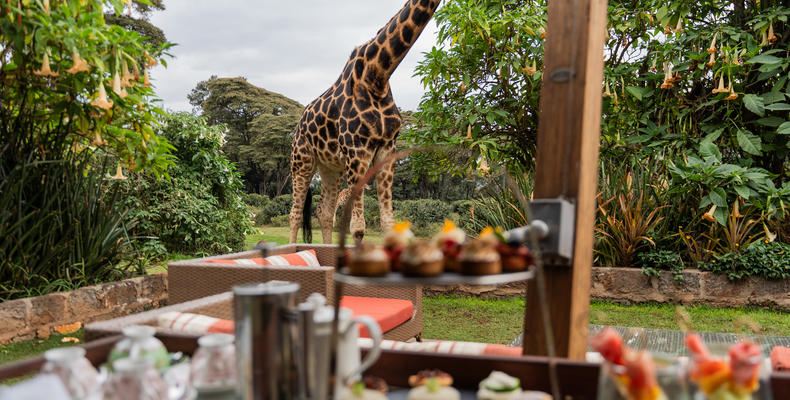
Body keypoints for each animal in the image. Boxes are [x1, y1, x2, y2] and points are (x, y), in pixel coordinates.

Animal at [289, 0, 441, 244]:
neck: (378, 73)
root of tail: (298, 125)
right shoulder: (356, 149)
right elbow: (358, 228)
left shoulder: (387, 147)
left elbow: (388, 223)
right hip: (301, 161)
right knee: (295, 213)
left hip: (332, 168)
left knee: (324, 211)